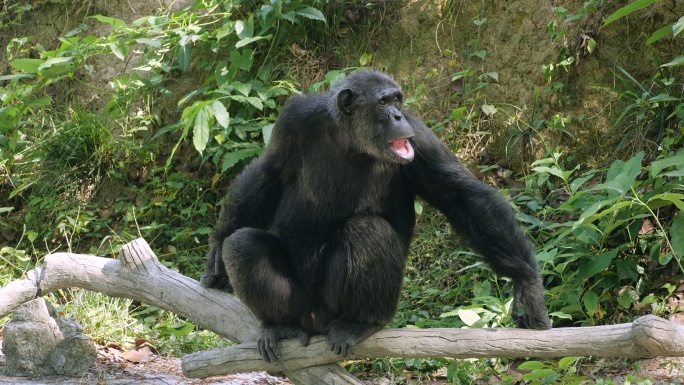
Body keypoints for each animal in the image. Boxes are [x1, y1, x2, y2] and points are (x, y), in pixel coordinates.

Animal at [199, 70, 552, 364]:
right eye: (384, 101)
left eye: (398, 100)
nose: (397, 114)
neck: (351, 141)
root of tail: (315, 321)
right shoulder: (293, 122)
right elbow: (269, 172)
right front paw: (217, 248)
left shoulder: (419, 136)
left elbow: (460, 194)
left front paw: (528, 285)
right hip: (301, 305)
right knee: (243, 245)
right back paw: (279, 324)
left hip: (339, 306)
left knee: (368, 231)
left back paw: (359, 323)